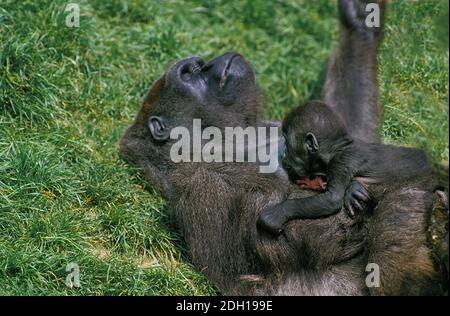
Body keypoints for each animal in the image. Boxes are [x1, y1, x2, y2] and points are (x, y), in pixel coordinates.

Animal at [256, 101, 436, 235]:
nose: (284, 153)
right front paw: (353, 191)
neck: (337, 149)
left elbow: (331, 198)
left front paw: (278, 213)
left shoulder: (342, 161)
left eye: (288, 143)